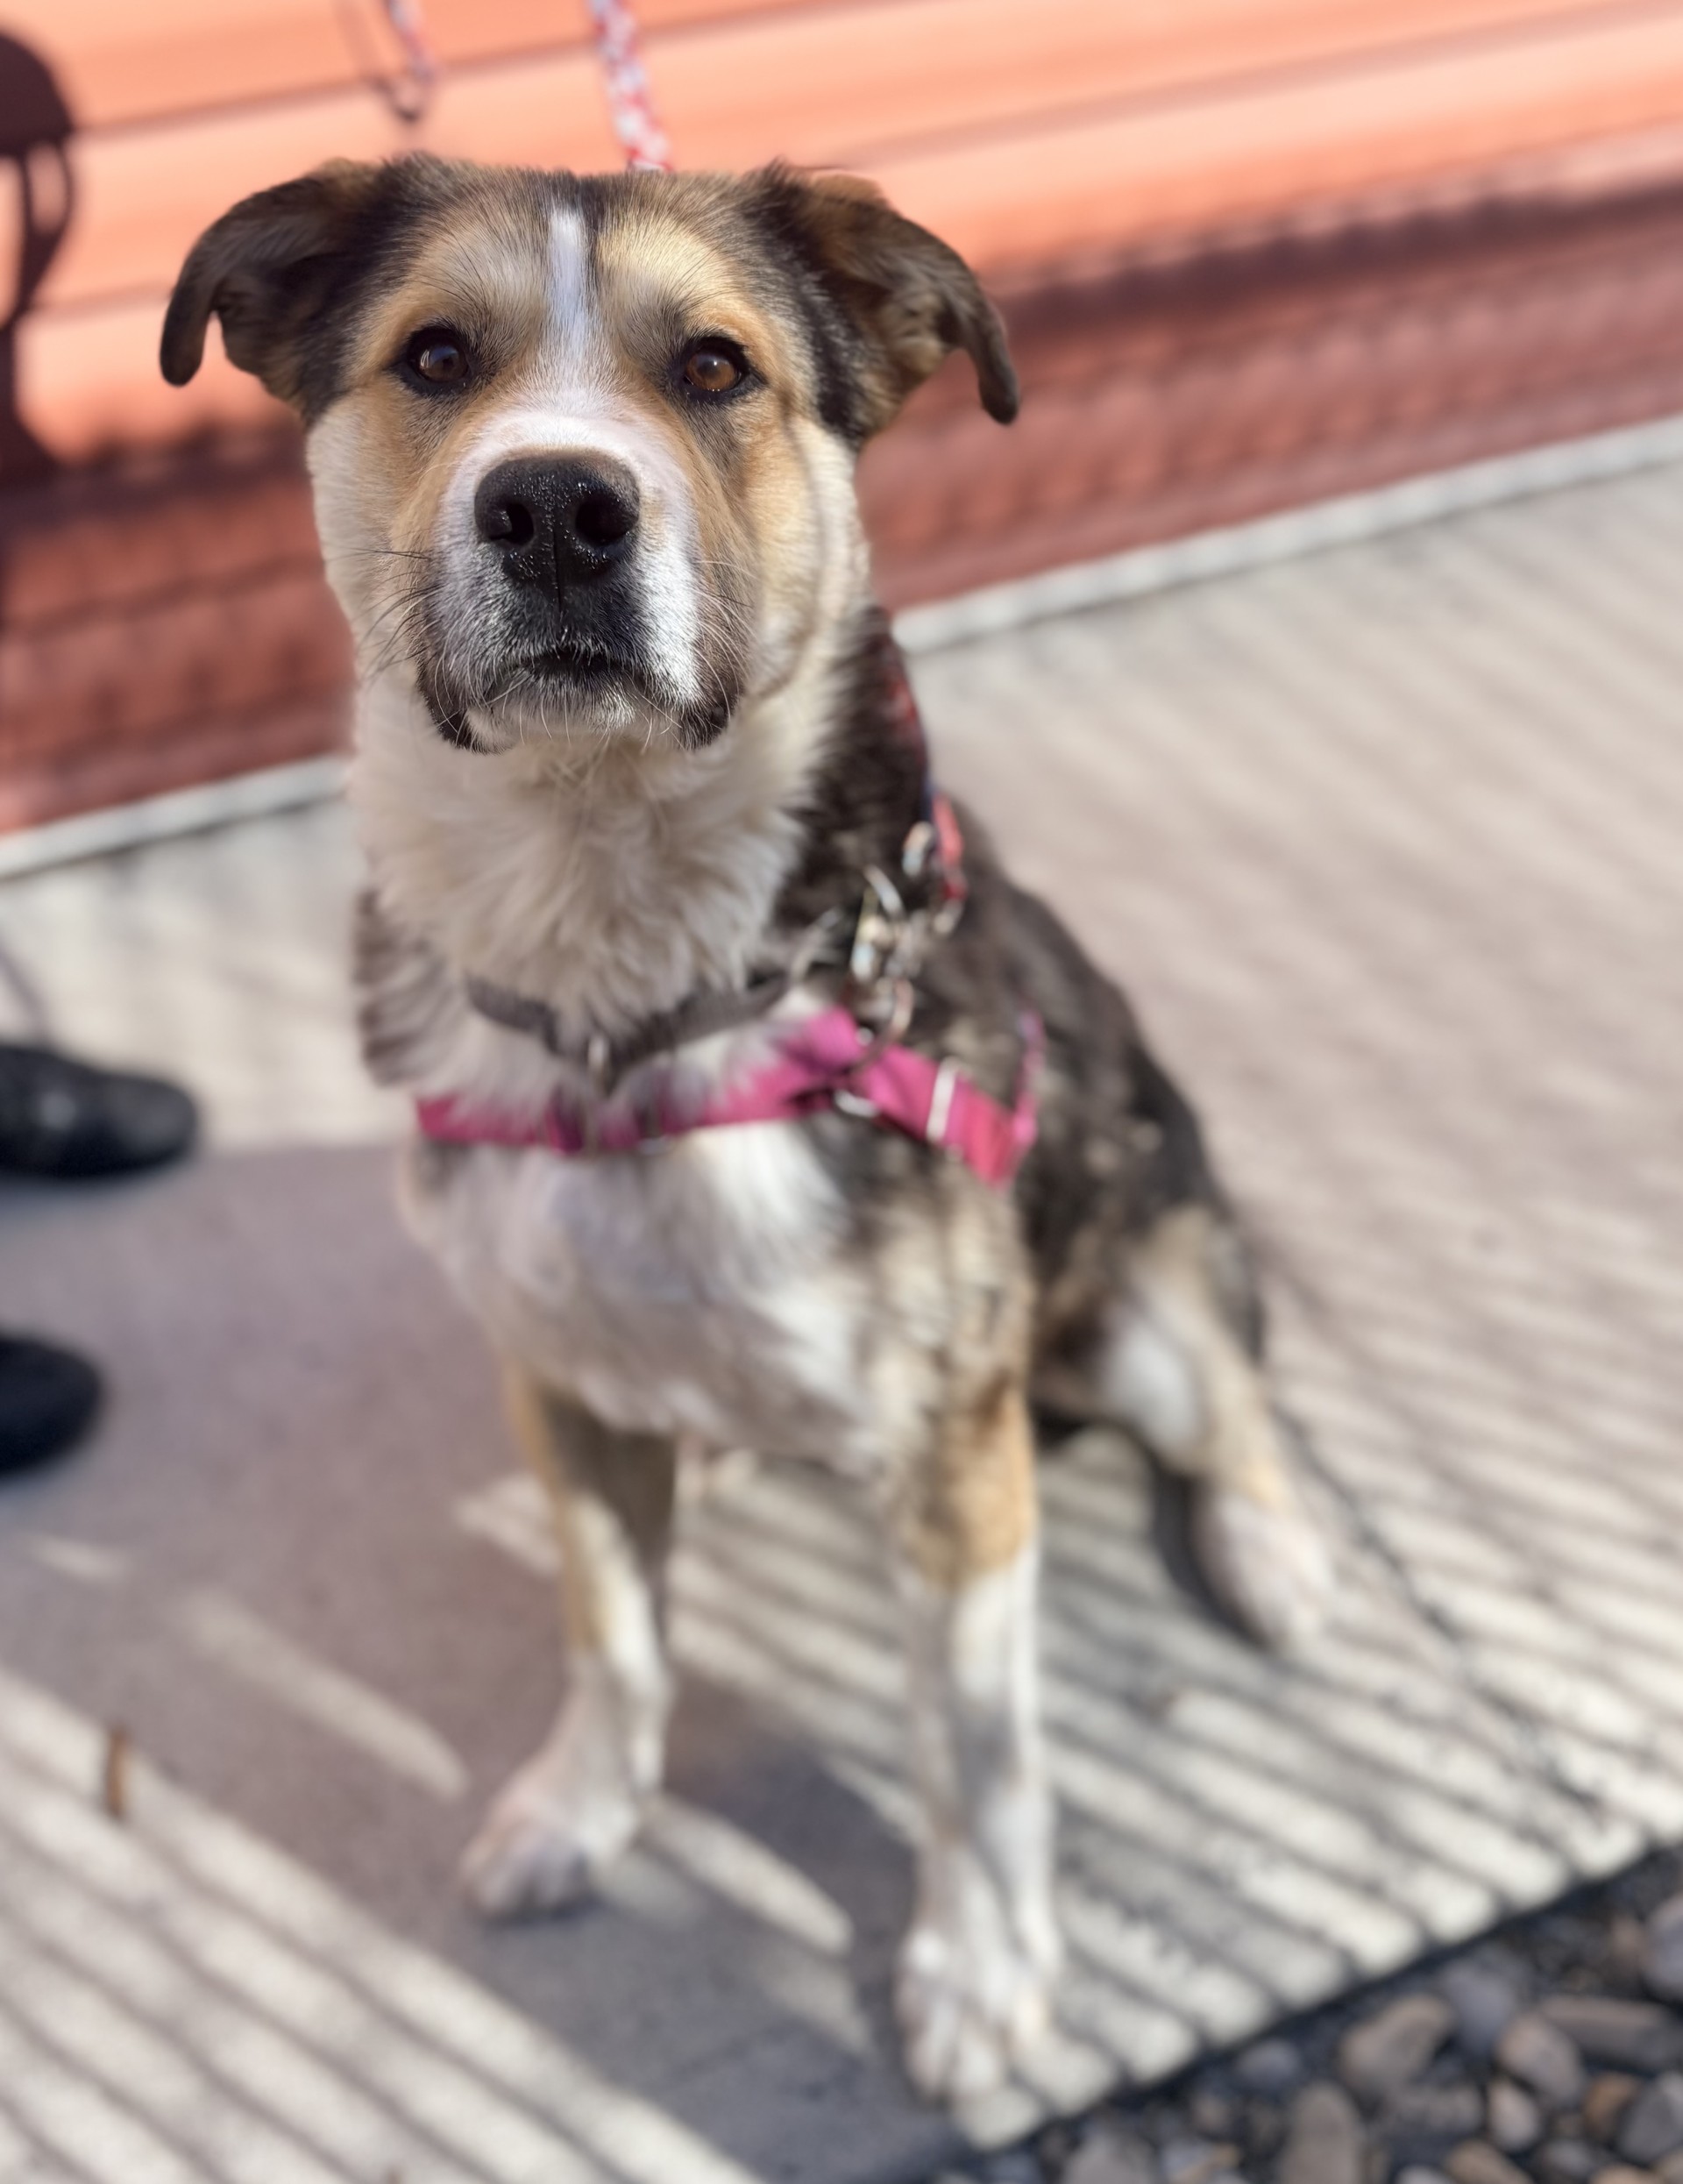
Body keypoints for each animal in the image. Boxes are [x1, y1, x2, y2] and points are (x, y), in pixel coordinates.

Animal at [163, 155, 1333, 2104]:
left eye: (714, 368)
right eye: (435, 355)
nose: (557, 506)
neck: (629, 984)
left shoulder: (953, 1457)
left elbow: (973, 1750)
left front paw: (978, 1969)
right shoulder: (551, 1390)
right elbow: (616, 1642)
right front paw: (582, 1811)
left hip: (1147, 1289)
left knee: (1231, 1401)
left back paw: (1273, 1554)